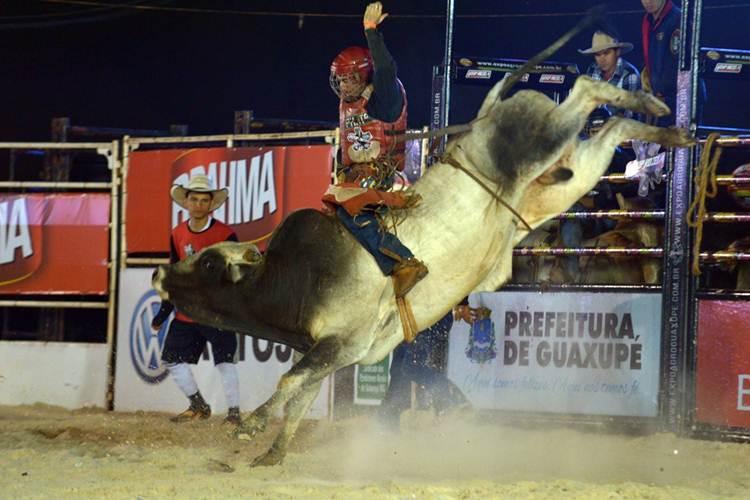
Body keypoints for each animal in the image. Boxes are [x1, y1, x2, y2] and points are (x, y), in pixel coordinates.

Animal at [154, 19, 700, 466]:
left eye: (208, 264)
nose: (160, 271)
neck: (294, 280)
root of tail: (488, 115)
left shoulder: (340, 340)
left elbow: (290, 381)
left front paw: (249, 425)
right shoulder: (343, 352)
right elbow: (301, 394)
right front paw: (272, 451)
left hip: (550, 140)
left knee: (587, 89)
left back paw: (650, 105)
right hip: (558, 182)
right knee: (606, 128)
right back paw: (669, 129)